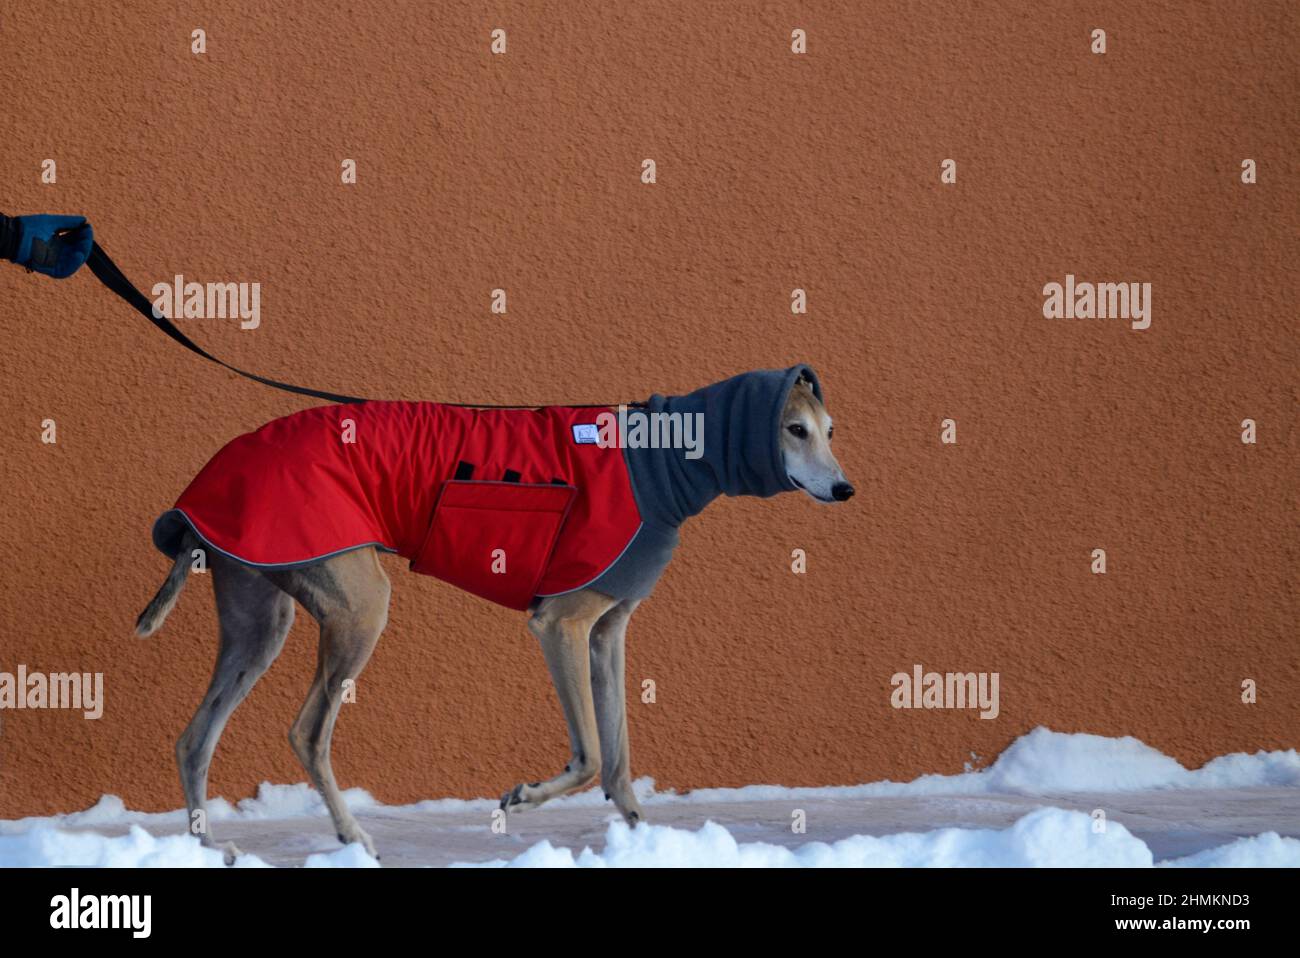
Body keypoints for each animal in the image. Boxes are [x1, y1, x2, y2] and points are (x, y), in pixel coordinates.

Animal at [137, 369, 847, 857]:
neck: (659, 459)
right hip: (360, 606)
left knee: (193, 739)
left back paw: (210, 848)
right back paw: (352, 836)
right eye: (794, 429)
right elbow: (590, 754)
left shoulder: (607, 633)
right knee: (307, 732)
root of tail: (203, 491)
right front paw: (524, 797)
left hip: (260, 622)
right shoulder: (561, 624)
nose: (845, 488)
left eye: (831, 430)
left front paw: (643, 841)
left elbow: (618, 760)